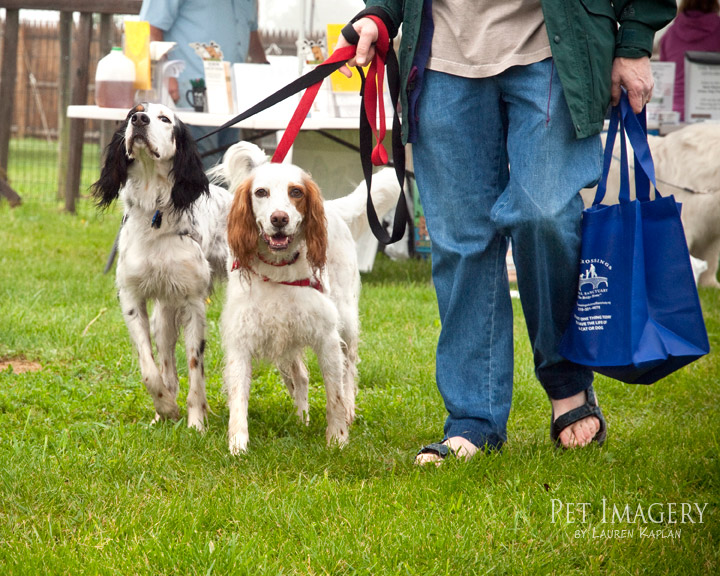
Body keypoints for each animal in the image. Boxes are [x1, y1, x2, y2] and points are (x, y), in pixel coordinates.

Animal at [90, 103, 231, 430]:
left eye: (165, 119)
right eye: (134, 112)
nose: (139, 120)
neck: (155, 215)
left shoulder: (194, 304)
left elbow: (195, 367)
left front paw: (196, 422)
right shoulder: (131, 298)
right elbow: (149, 369)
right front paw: (165, 407)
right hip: (164, 316)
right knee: (166, 364)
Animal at [217, 142, 402, 452]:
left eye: (296, 192)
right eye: (261, 192)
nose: (280, 219)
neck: (279, 270)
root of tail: (333, 207)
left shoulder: (327, 336)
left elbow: (334, 394)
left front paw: (337, 439)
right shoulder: (242, 339)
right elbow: (239, 398)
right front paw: (238, 446)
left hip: (347, 321)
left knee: (349, 369)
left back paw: (348, 409)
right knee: (301, 377)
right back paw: (300, 418)